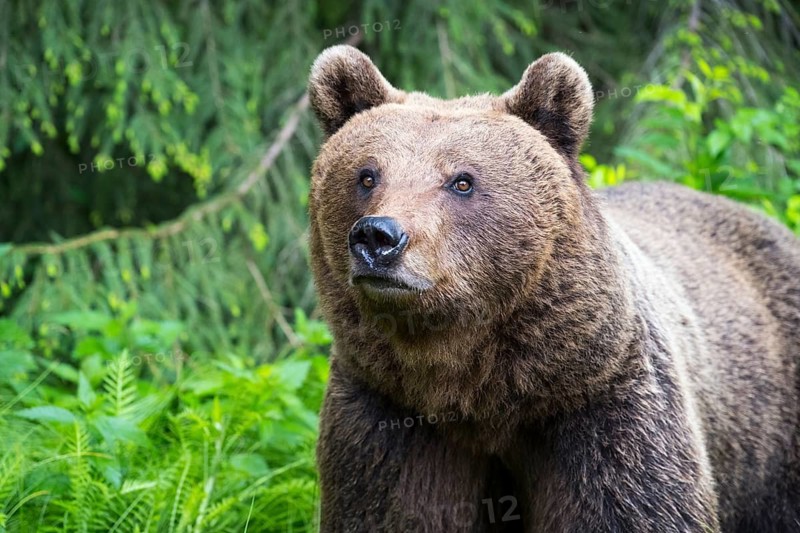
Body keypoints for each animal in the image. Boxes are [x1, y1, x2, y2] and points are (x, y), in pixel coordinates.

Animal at [307, 45, 800, 532]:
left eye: (462, 181)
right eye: (367, 175)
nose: (378, 236)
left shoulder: (606, 402)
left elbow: (635, 505)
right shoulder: (387, 413)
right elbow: (385, 507)